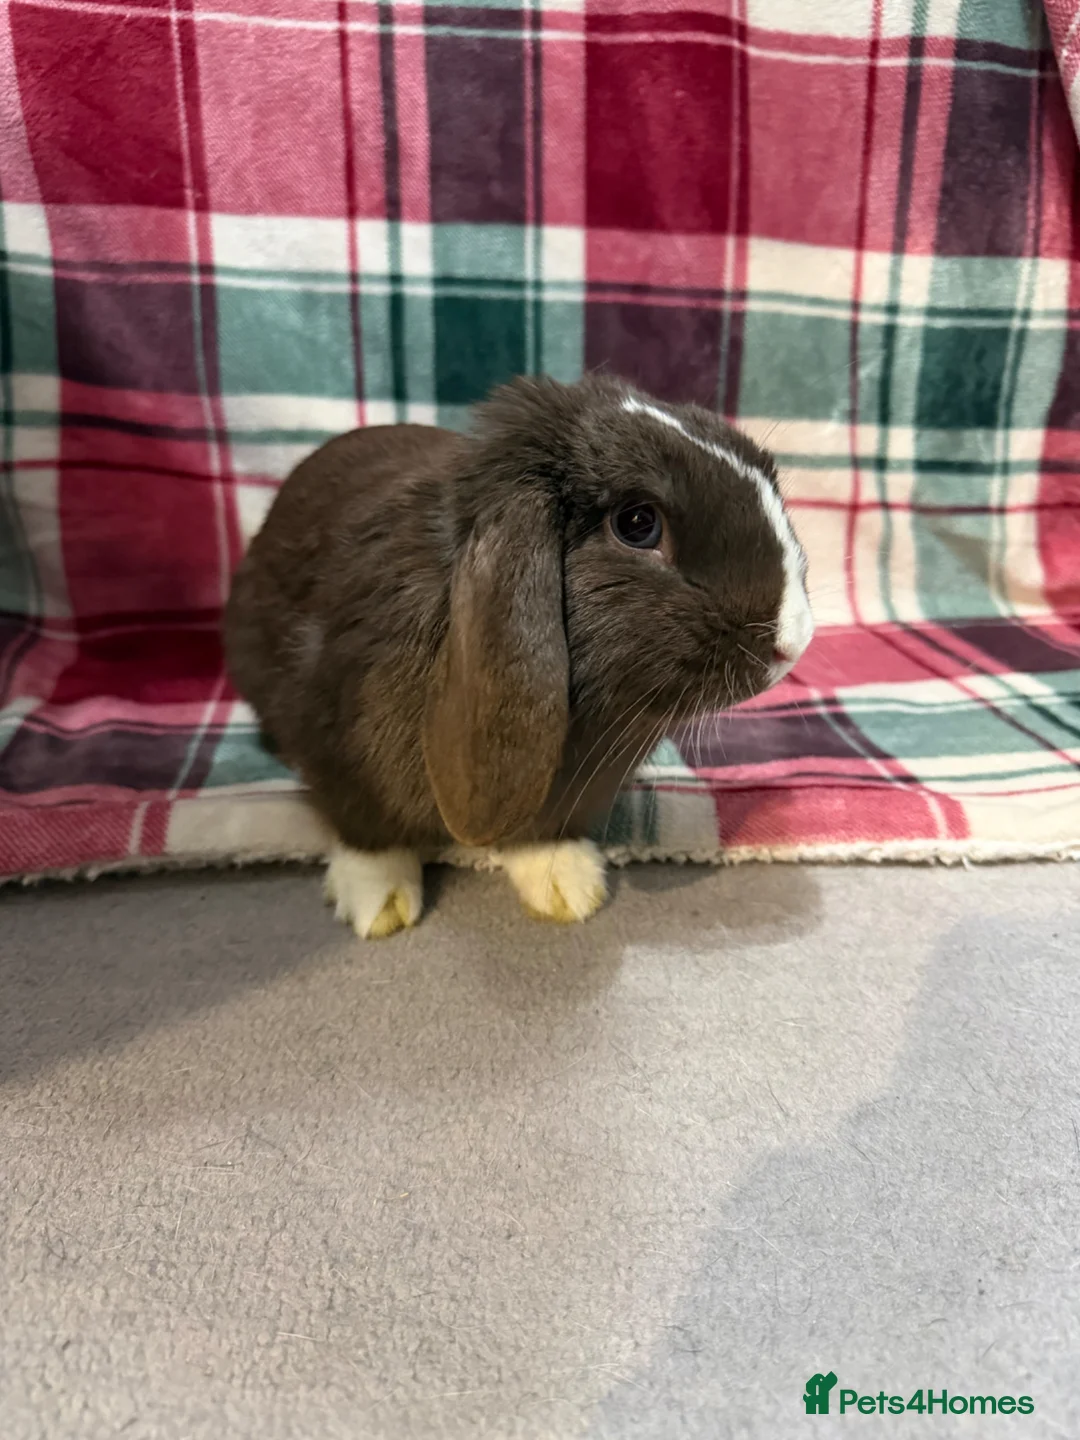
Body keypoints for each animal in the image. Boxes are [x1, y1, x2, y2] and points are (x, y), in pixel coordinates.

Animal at [224, 374, 813, 937]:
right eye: (637, 524)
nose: (794, 642)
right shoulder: (339, 755)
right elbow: (369, 836)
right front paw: (381, 907)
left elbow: (543, 836)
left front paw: (570, 893)